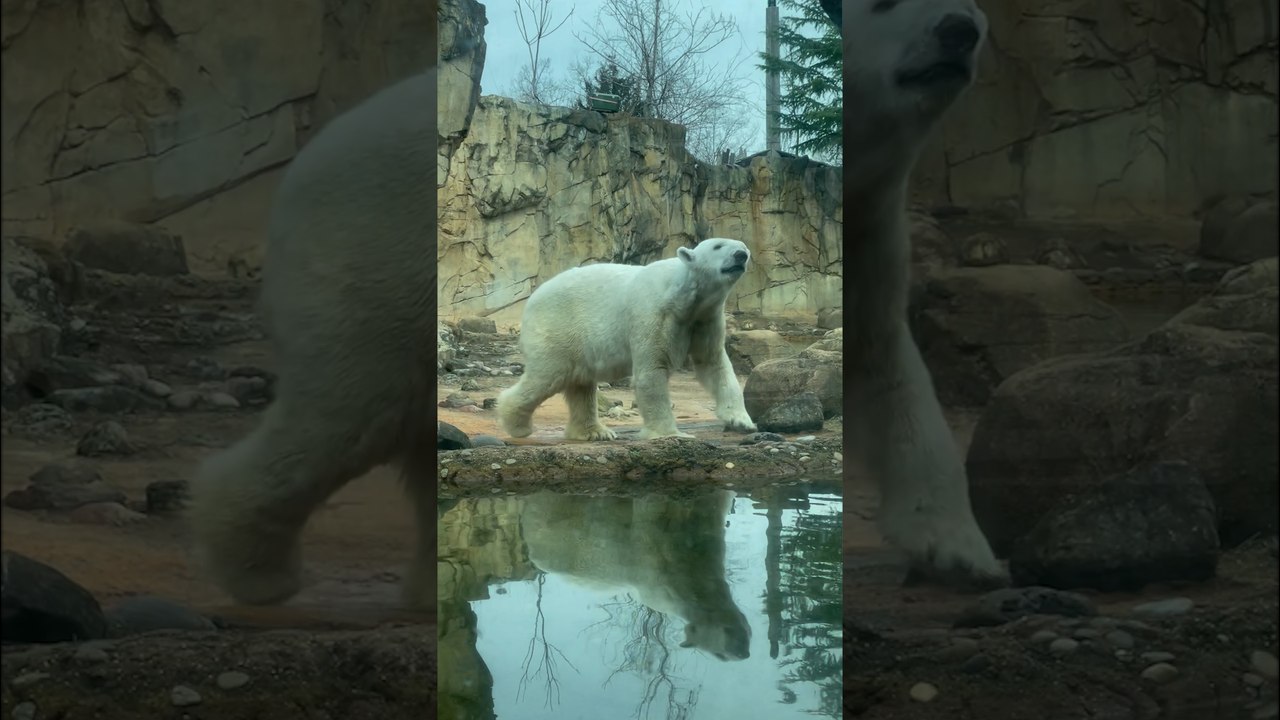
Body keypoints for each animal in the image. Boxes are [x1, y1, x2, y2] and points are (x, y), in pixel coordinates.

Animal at [496, 238, 758, 442]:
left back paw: (595, 432)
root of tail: (533, 298)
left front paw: (742, 421)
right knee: (549, 375)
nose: (741, 255)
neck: (685, 295)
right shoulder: (654, 314)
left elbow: (713, 364)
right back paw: (517, 425)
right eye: (717, 246)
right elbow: (652, 371)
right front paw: (671, 434)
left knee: (580, 383)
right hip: (557, 326)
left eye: (744, 246)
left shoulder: (705, 318)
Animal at [841, 0, 1007, 588]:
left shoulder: (871, 236)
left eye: (973, 5)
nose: (958, 31)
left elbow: (885, 367)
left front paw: (964, 550)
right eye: (883, 3)